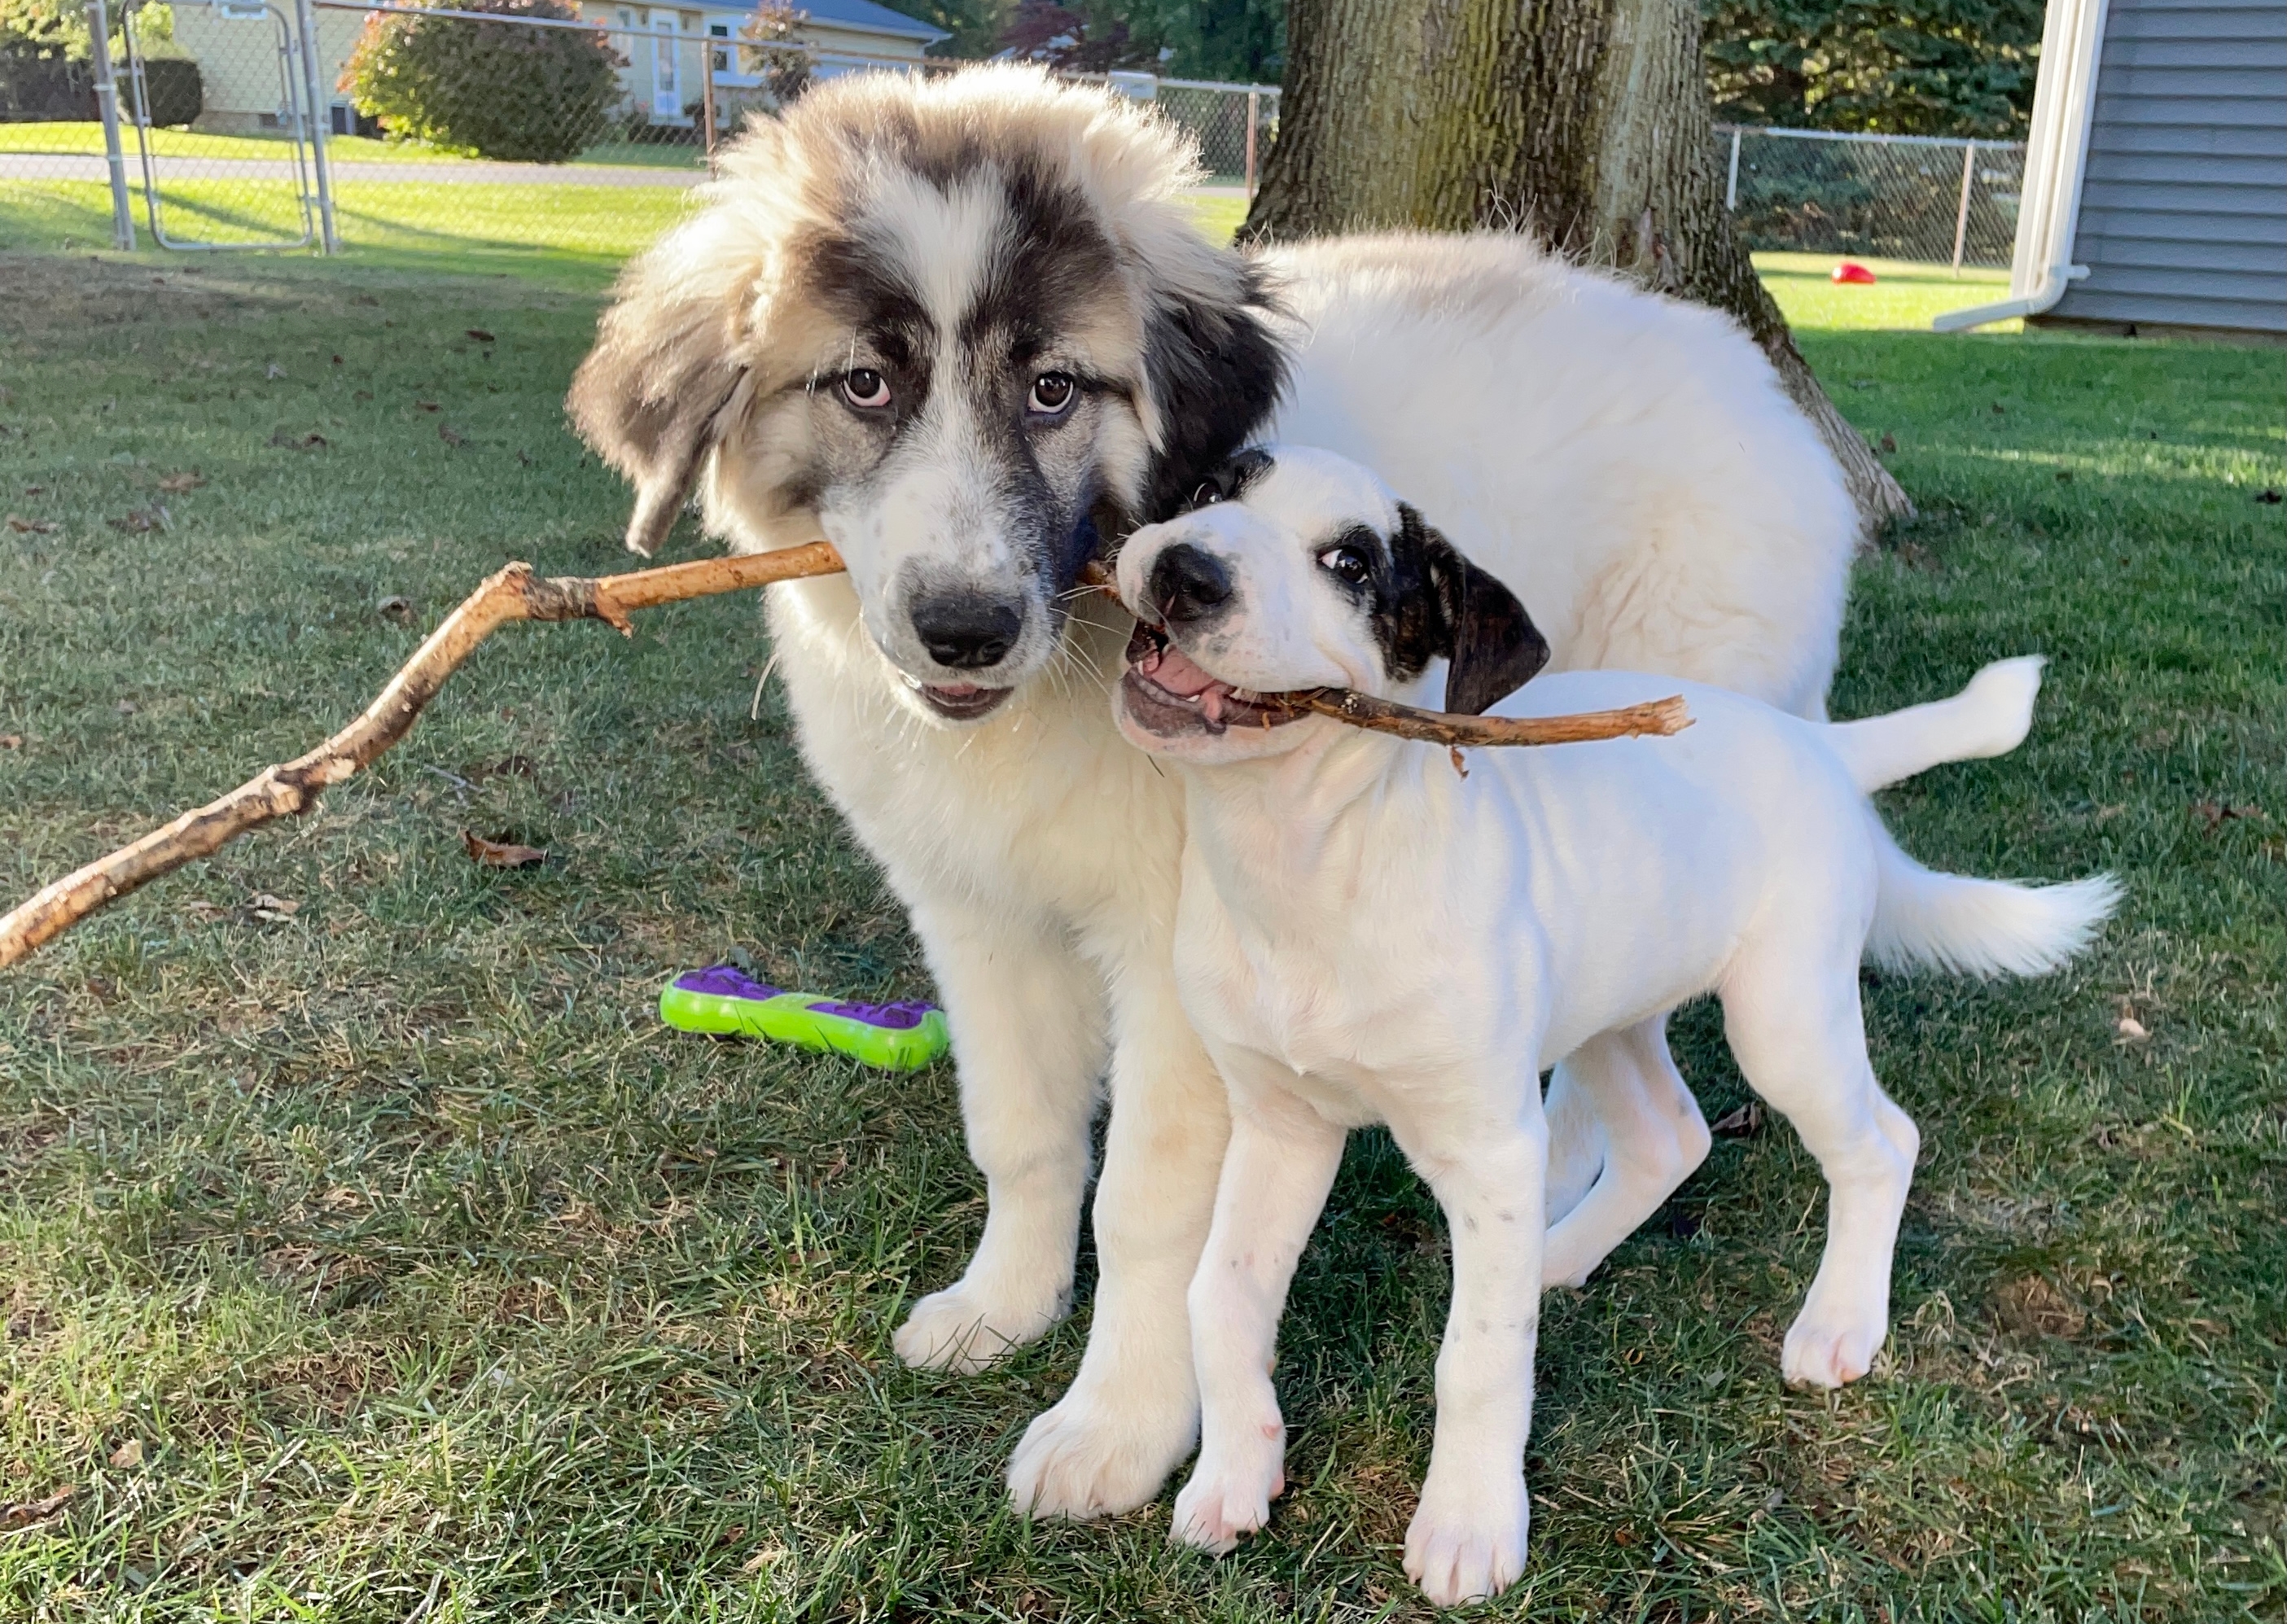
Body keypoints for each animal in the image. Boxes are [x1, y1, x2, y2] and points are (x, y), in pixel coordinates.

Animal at [1115, 448, 2113, 1619]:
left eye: (1350, 563)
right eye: (1209, 492)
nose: (1183, 571)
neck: (1304, 865)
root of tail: (1814, 741)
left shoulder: (1489, 1145)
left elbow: (1477, 1357)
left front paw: (1469, 1524)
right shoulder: (1279, 1125)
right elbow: (1219, 1298)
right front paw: (1233, 1473)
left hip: (1783, 1016)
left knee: (1881, 1141)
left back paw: (1838, 1322)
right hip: (1611, 1007)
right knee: (1669, 1136)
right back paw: (1557, 1256)